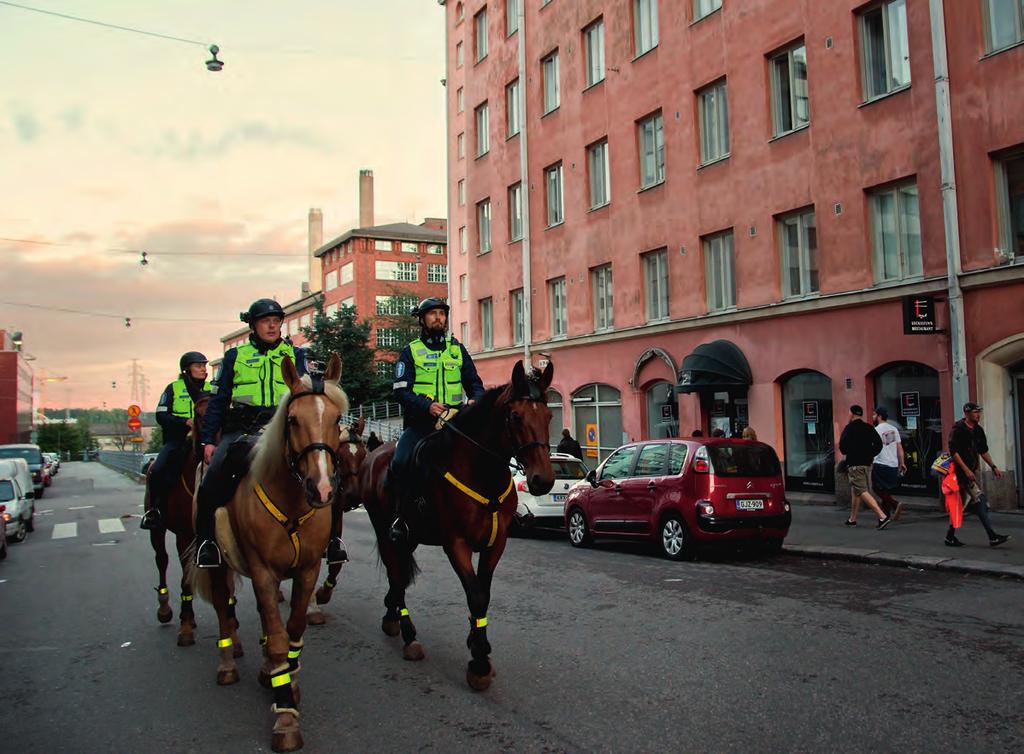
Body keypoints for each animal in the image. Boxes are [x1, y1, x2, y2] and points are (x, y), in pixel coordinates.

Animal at [188, 352, 360, 754]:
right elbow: (279, 638)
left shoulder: (307, 569)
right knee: (224, 608)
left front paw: (288, 684)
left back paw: (268, 671)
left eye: (335, 420)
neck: (293, 501)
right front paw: (285, 718)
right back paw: (227, 664)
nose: (323, 489)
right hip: (218, 563)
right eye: (293, 420)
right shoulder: (263, 571)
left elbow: (292, 630)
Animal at [360, 358, 552, 688]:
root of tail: (377, 451)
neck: (482, 473)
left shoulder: (496, 544)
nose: (543, 480)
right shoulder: (456, 544)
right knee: (395, 573)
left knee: (398, 576)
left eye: (549, 415)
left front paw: (477, 643)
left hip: (409, 536)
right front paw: (479, 660)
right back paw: (408, 633)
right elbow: (475, 595)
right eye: (516, 416)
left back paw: (391, 615)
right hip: (385, 531)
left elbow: (484, 594)